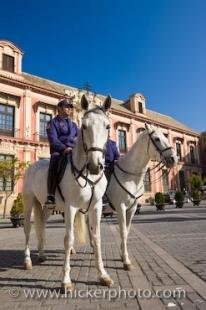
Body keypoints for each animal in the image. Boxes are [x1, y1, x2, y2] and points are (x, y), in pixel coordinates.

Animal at [22, 94, 114, 290]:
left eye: (107, 126)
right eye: (84, 126)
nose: (95, 165)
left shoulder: (96, 207)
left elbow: (97, 238)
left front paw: (103, 275)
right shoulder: (71, 208)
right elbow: (68, 239)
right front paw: (66, 280)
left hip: (47, 208)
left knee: (42, 226)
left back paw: (41, 254)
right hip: (29, 202)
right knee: (27, 229)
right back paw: (27, 260)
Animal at [104, 123, 177, 268]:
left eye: (165, 137)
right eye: (157, 139)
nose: (173, 159)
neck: (129, 176)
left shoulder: (132, 208)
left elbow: (127, 231)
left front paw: (123, 255)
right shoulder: (120, 207)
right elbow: (123, 231)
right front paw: (126, 260)